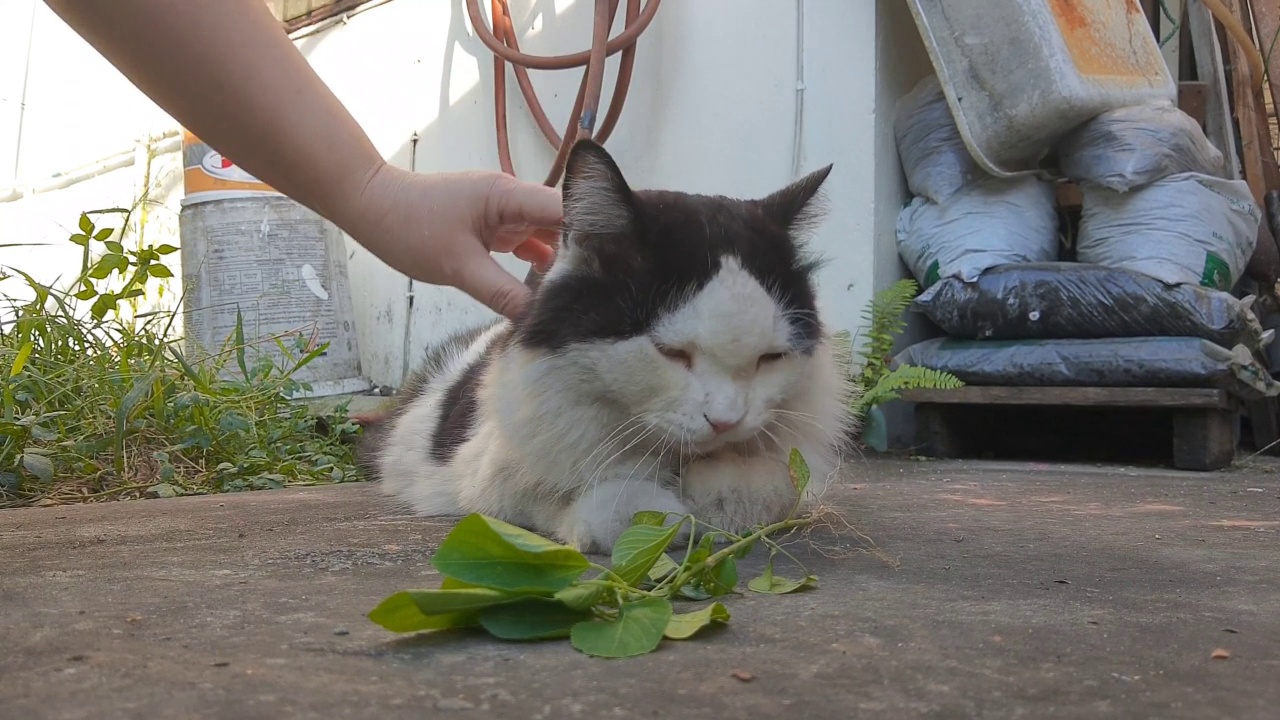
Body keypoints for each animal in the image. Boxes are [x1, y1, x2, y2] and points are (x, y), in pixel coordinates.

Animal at [358, 137, 860, 548]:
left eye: (770, 358)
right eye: (671, 353)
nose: (725, 421)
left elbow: (769, 487)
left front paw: (717, 497)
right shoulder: (489, 474)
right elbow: (598, 503)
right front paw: (657, 511)